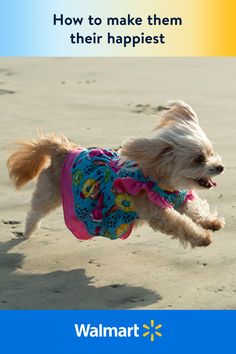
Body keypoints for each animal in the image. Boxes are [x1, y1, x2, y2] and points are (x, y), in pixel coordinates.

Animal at [7, 101, 225, 248]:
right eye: (199, 159)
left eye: (211, 153)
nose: (220, 167)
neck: (158, 180)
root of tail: (63, 149)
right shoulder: (156, 211)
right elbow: (180, 223)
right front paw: (202, 237)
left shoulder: (180, 197)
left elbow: (195, 208)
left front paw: (211, 222)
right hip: (50, 194)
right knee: (35, 212)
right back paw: (27, 232)